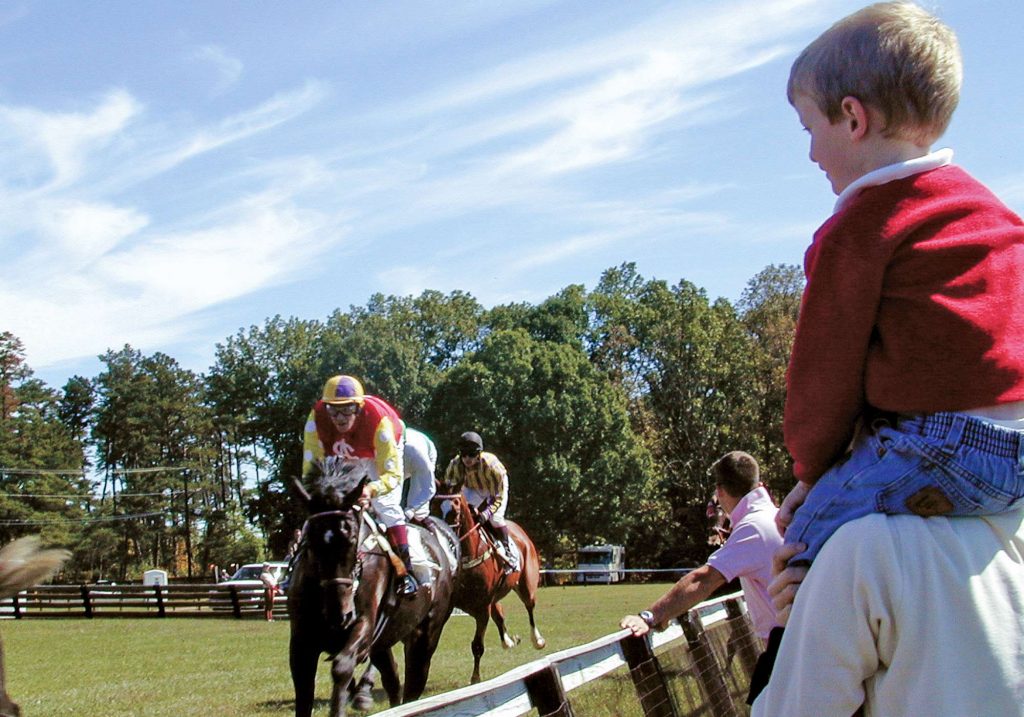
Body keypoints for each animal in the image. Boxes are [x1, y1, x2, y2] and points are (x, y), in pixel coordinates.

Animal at [292, 458, 460, 717]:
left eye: (351, 538)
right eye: (310, 539)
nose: (340, 615)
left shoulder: (364, 624)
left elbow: (342, 667)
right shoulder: (301, 642)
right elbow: (304, 693)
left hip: (425, 635)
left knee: (414, 683)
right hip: (384, 642)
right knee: (393, 680)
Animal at [432, 493, 548, 684]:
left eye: (455, 513)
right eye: (432, 509)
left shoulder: (482, 609)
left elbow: (477, 645)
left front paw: (475, 678)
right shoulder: (450, 606)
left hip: (527, 585)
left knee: (529, 607)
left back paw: (537, 640)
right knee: (499, 615)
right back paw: (508, 641)